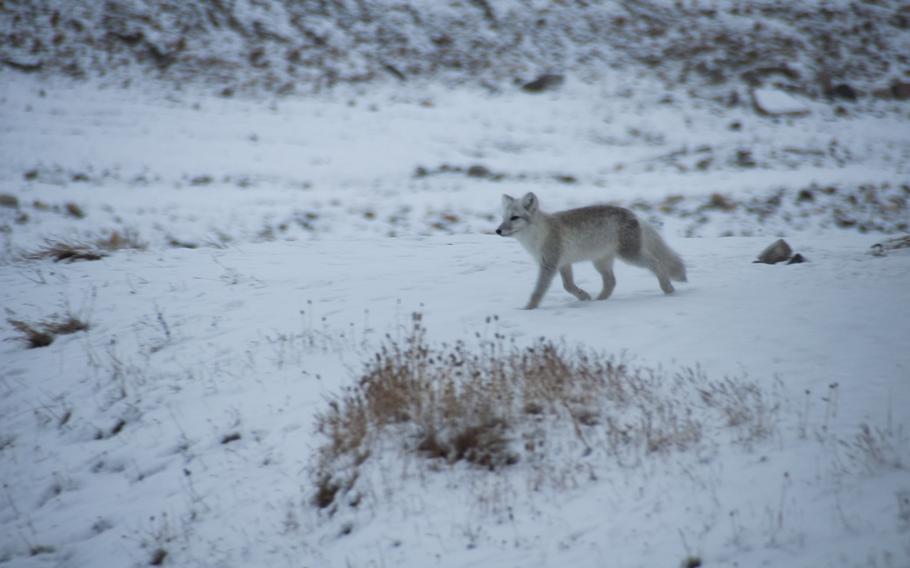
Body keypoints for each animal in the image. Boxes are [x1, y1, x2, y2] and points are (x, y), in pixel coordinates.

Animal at [496, 192, 688, 308]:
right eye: (503, 217)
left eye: (514, 218)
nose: (497, 231)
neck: (538, 234)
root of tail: (634, 214)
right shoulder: (563, 263)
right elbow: (568, 286)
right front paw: (583, 296)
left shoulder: (549, 264)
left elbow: (538, 291)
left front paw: (528, 309)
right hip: (601, 262)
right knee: (611, 282)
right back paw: (598, 301)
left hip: (630, 256)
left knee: (657, 263)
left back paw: (668, 288)